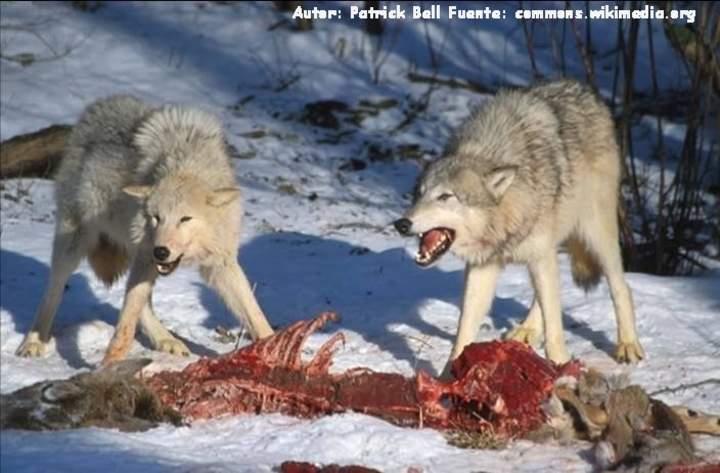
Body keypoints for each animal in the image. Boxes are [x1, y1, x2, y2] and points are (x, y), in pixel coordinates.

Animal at [16, 95, 274, 363]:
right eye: (156, 218)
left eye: (185, 219)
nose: (160, 252)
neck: (185, 162)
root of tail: (98, 107)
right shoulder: (145, 256)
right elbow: (125, 323)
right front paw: (108, 365)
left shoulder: (220, 263)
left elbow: (255, 314)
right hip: (75, 245)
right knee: (53, 291)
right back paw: (33, 342)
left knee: (141, 302)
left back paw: (166, 340)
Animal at [394, 79, 644, 369]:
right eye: (419, 194)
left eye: (445, 197)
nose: (401, 224)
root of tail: (586, 91)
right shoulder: (483, 267)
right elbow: (465, 329)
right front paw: (450, 373)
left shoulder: (539, 255)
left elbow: (555, 326)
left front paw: (561, 367)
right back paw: (527, 329)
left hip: (595, 235)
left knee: (621, 287)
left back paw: (628, 344)